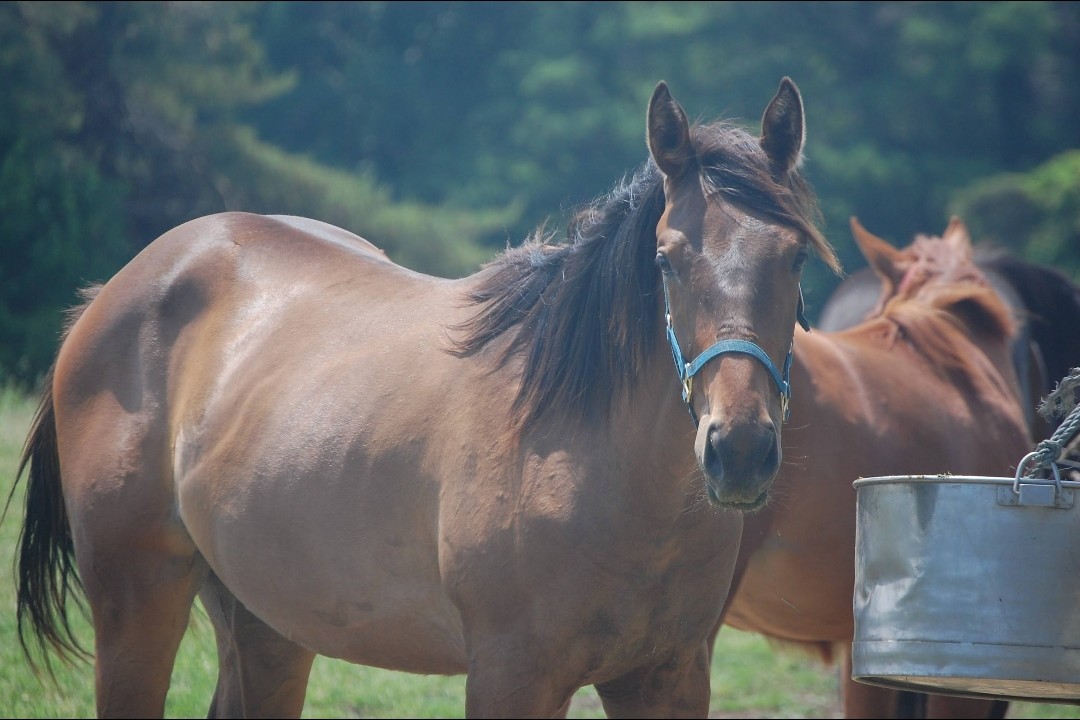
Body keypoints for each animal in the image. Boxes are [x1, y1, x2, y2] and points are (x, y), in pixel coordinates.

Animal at [6, 78, 840, 718]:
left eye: (795, 257)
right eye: (666, 259)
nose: (739, 450)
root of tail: (108, 297)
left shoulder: (665, 678)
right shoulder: (511, 677)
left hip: (265, 622)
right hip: (137, 604)